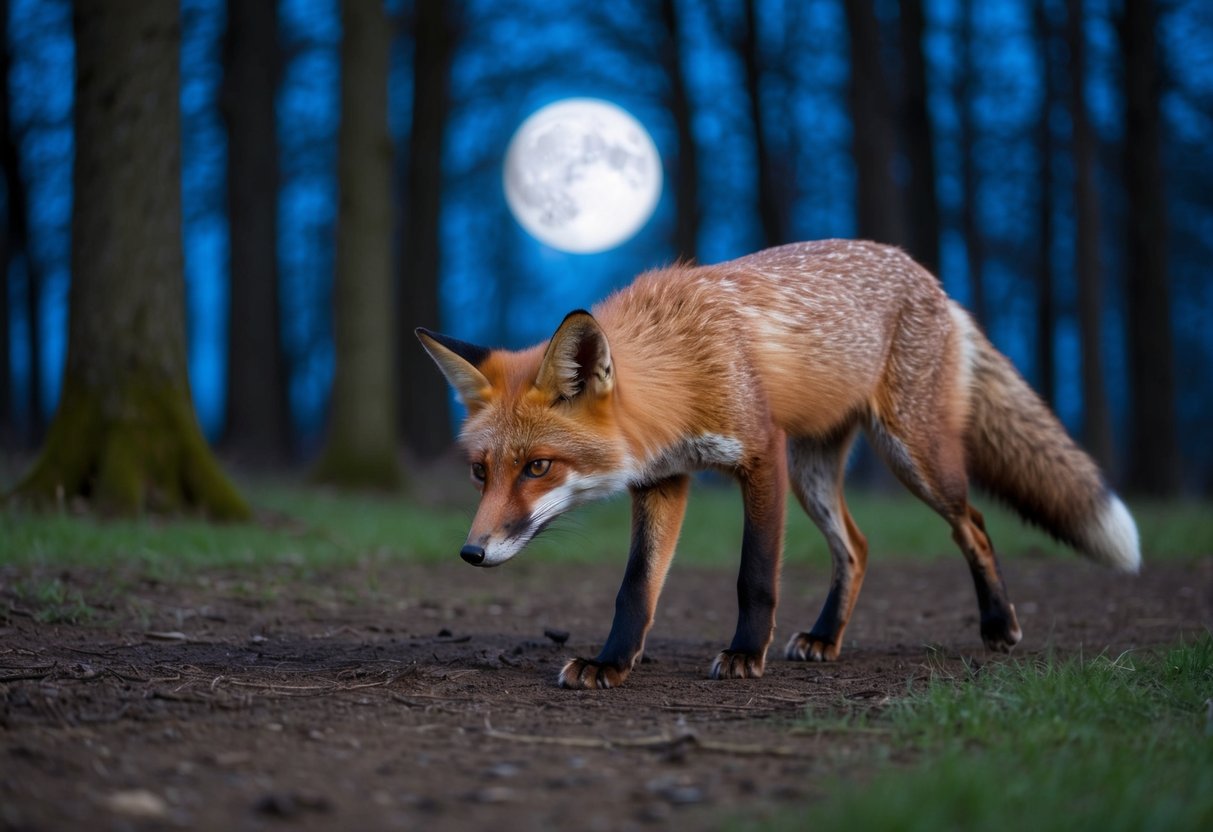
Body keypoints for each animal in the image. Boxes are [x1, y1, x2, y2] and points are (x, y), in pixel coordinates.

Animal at [416, 239, 1140, 690]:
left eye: (538, 467)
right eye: (481, 472)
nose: (472, 552)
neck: (681, 365)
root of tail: (929, 277)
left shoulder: (761, 457)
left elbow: (755, 575)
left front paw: (743, 653)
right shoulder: (663, 481)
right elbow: (636, 588)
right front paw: (611, 663)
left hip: (911, 457)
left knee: (975, 525)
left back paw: (998, 624)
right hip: (816, 473)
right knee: (858, 546)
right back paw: (824, 638)